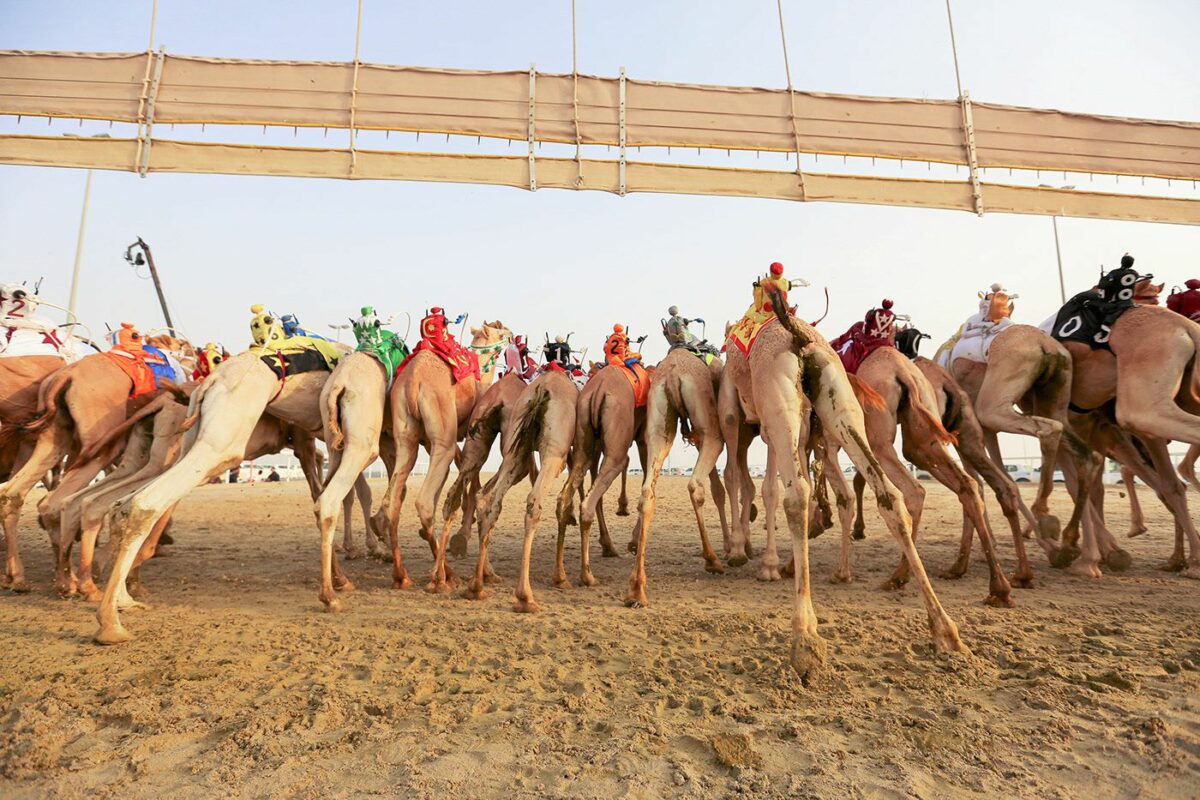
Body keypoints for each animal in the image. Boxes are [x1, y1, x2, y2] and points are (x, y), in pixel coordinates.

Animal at [467, 369, 577, 610]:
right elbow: (566, 503)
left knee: (488, 500)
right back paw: (525, 596)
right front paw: (562, 577)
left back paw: (478, 586)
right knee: (534, 502)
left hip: (516, 451)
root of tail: (541, 389)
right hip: (552, 452)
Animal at [720, 291, 966, 679]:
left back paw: (805, 640)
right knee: (891, 494)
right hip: (841, 407)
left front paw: (759, 561)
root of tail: (800, 340)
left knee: (796, 495)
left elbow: (764, 487)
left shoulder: (755, 419)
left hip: (782, 405)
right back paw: (945, 630)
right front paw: (778, 561)